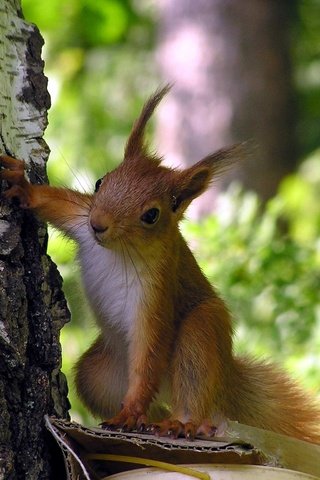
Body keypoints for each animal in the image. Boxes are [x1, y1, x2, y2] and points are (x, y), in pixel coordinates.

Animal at [0, 85, 320, 442]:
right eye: (100, 182)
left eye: (151, 215)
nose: (99, 224)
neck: (118, 250)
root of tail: (225, 381)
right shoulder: (81, 218)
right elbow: (55, 203)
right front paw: (22, 187)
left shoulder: (156, 293)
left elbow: (149, 355)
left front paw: (131, 411)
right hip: (99, 374)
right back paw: (151, 420)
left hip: (201, 332)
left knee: (193, 388)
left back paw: (183, 423)